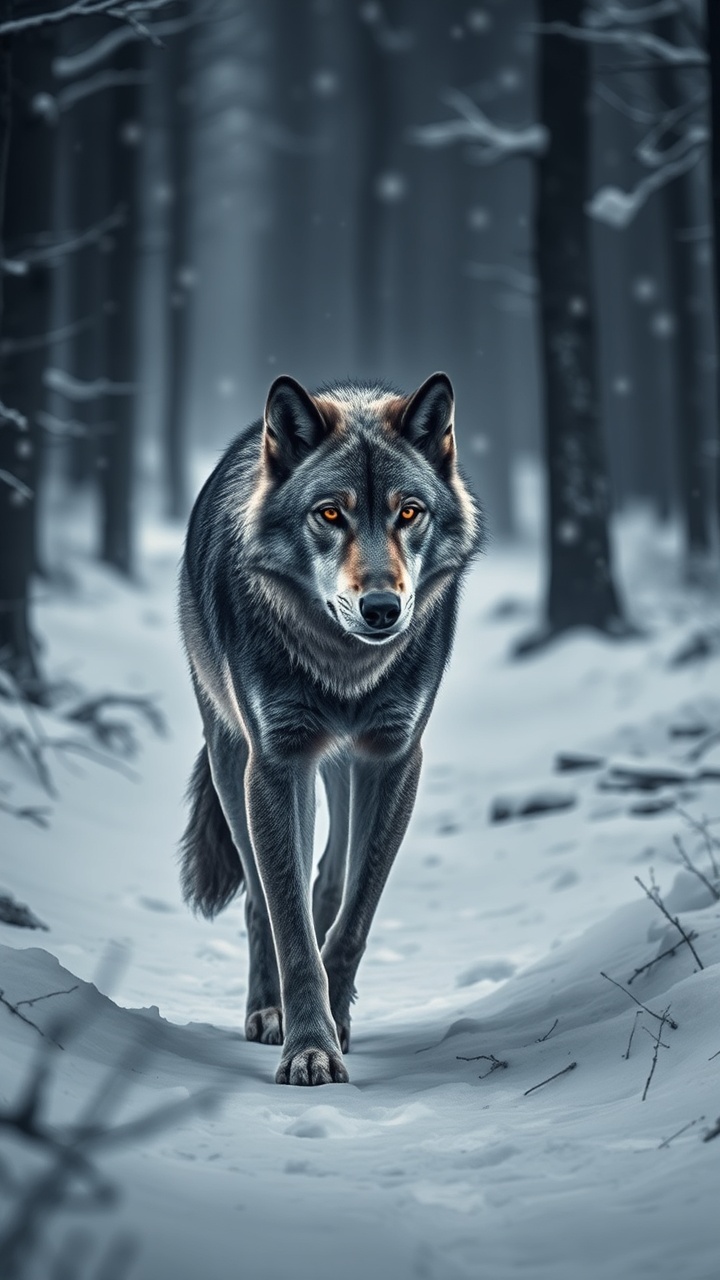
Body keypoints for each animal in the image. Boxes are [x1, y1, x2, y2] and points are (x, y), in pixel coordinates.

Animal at [179, 371, 483, 1086]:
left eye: (409, 512)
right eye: (329, 514)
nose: (382, 608)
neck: (346, 668)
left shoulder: (394, 760)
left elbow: (352, 919)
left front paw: (334, 1025)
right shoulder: (277, 763)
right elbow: (288, 925)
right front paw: (308, 1047)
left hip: (342, 771)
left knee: (330, 878)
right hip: (233, 762)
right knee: (259, 898)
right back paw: (267, 1013)